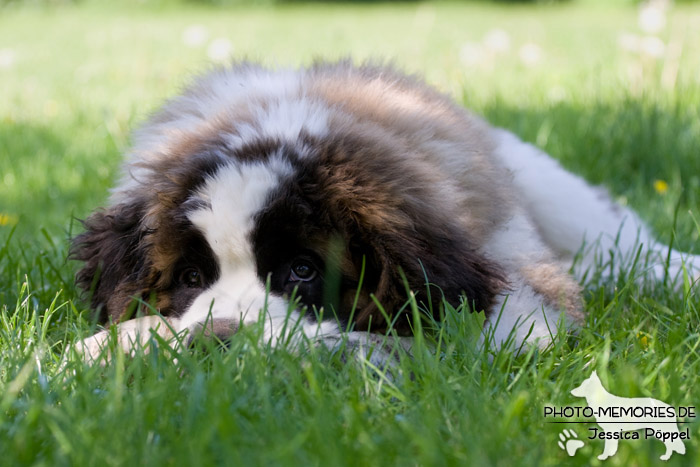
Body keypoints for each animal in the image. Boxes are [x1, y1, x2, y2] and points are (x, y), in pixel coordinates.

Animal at [72, 60, 700, 364]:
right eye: (190, 277)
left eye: (303, 270)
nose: (221, 338)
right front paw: (106, 348)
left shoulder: (515, 287)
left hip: (548, 184)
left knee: (623, 245)